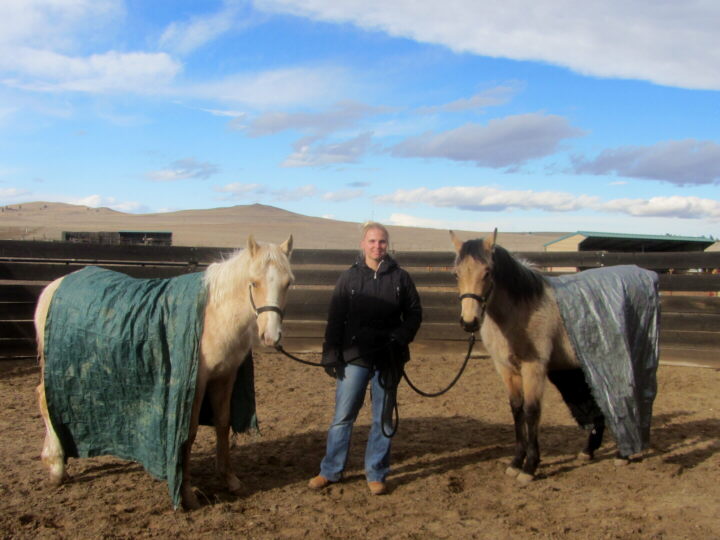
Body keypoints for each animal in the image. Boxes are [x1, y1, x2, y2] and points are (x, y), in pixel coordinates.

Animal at [35, 234, 293, 509]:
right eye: (253, 282)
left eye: (288, 283)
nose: (271, 336)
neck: (214, 314)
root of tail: (55, 285)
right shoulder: (194, 382)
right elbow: (188, 432)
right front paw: (188, 494)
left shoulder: (225, 377)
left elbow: (223, 423)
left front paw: (230, 480)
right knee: (44, 399)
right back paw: (56, 467)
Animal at [450, 230, 659, 484]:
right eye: (457, 273)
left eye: (487, 271)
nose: (469, 322)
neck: (522, 310)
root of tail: (646, 274)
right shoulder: (506, 369)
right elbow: (517, 410)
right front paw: (515, 462)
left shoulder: (534, 368)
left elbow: (531, 412)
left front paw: (529, 467)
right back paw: (589, 451)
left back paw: (624, 454)